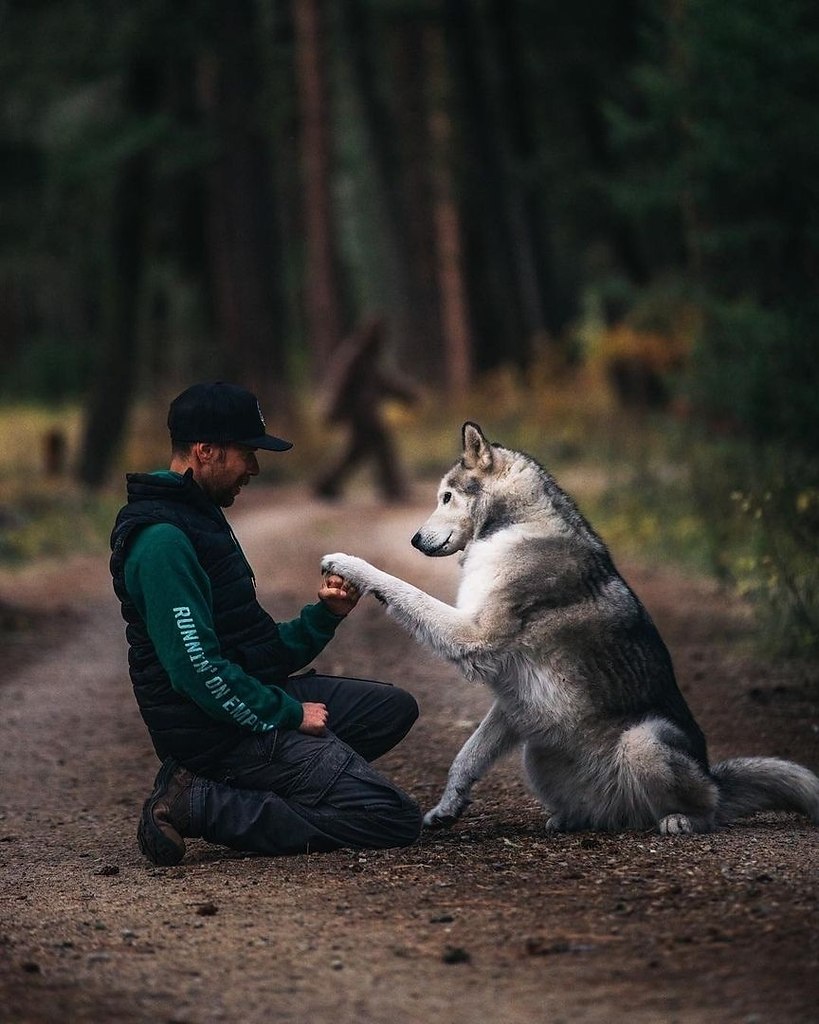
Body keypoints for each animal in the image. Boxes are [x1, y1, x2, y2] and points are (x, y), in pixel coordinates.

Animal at [321, 421, 818, 831]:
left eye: (445, 497)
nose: (414, 540)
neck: (517, 526)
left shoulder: (472, 633)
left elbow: (399, 586)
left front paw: (348, 564)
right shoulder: (514, 696)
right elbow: (466, 758)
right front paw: (448, 808)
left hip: (644, 741)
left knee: (707, 808)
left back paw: (681, 820)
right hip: (537, 747)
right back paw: (573, 819)